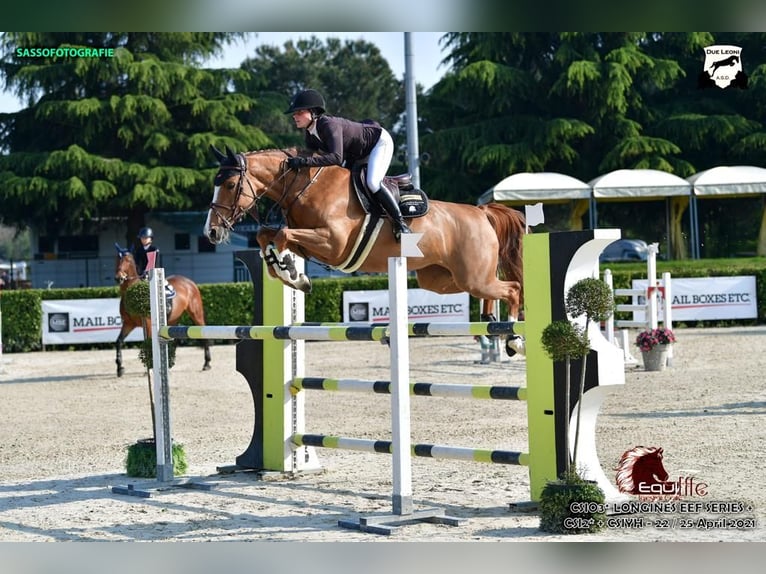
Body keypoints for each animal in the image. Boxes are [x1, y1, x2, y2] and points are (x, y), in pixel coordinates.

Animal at [114, 246, 211, 377]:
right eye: (116, 259)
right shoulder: (128, 324)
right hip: (173, 318)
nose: (119, 278)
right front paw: (120, 368)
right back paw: (169, 364)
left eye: (128, 260)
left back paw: (207, 363)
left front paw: (149, 368)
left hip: (196, 314)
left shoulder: (148, 324)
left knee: (204, 334)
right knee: (174, 340)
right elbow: (118, 342)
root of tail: (189, 282)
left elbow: (149, 343)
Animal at [203, 146, 526, 355]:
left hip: (473, 276)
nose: (211, 232)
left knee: (512, 288)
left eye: (229, 184)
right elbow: (266, 236)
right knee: (490, 292)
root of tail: (481, 212)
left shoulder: (333, 243)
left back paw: (513, 338)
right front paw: (291, 273)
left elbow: (281, 234)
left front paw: (292, 273)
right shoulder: (310, 242)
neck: (305, 186)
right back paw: (490, 321)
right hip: (443, 279)